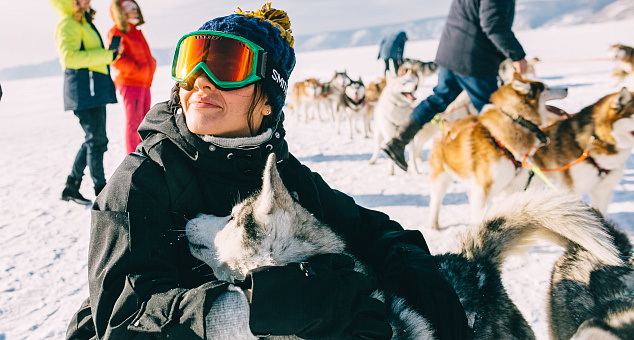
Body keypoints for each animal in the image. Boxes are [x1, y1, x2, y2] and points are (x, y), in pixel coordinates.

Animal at [428, 74, 564, 228]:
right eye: (547, 88)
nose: (566, 88)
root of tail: (445, 123)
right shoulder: (483, 191)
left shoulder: (506, 190)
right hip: (441, 177)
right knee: (436, 200)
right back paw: (433, 225)